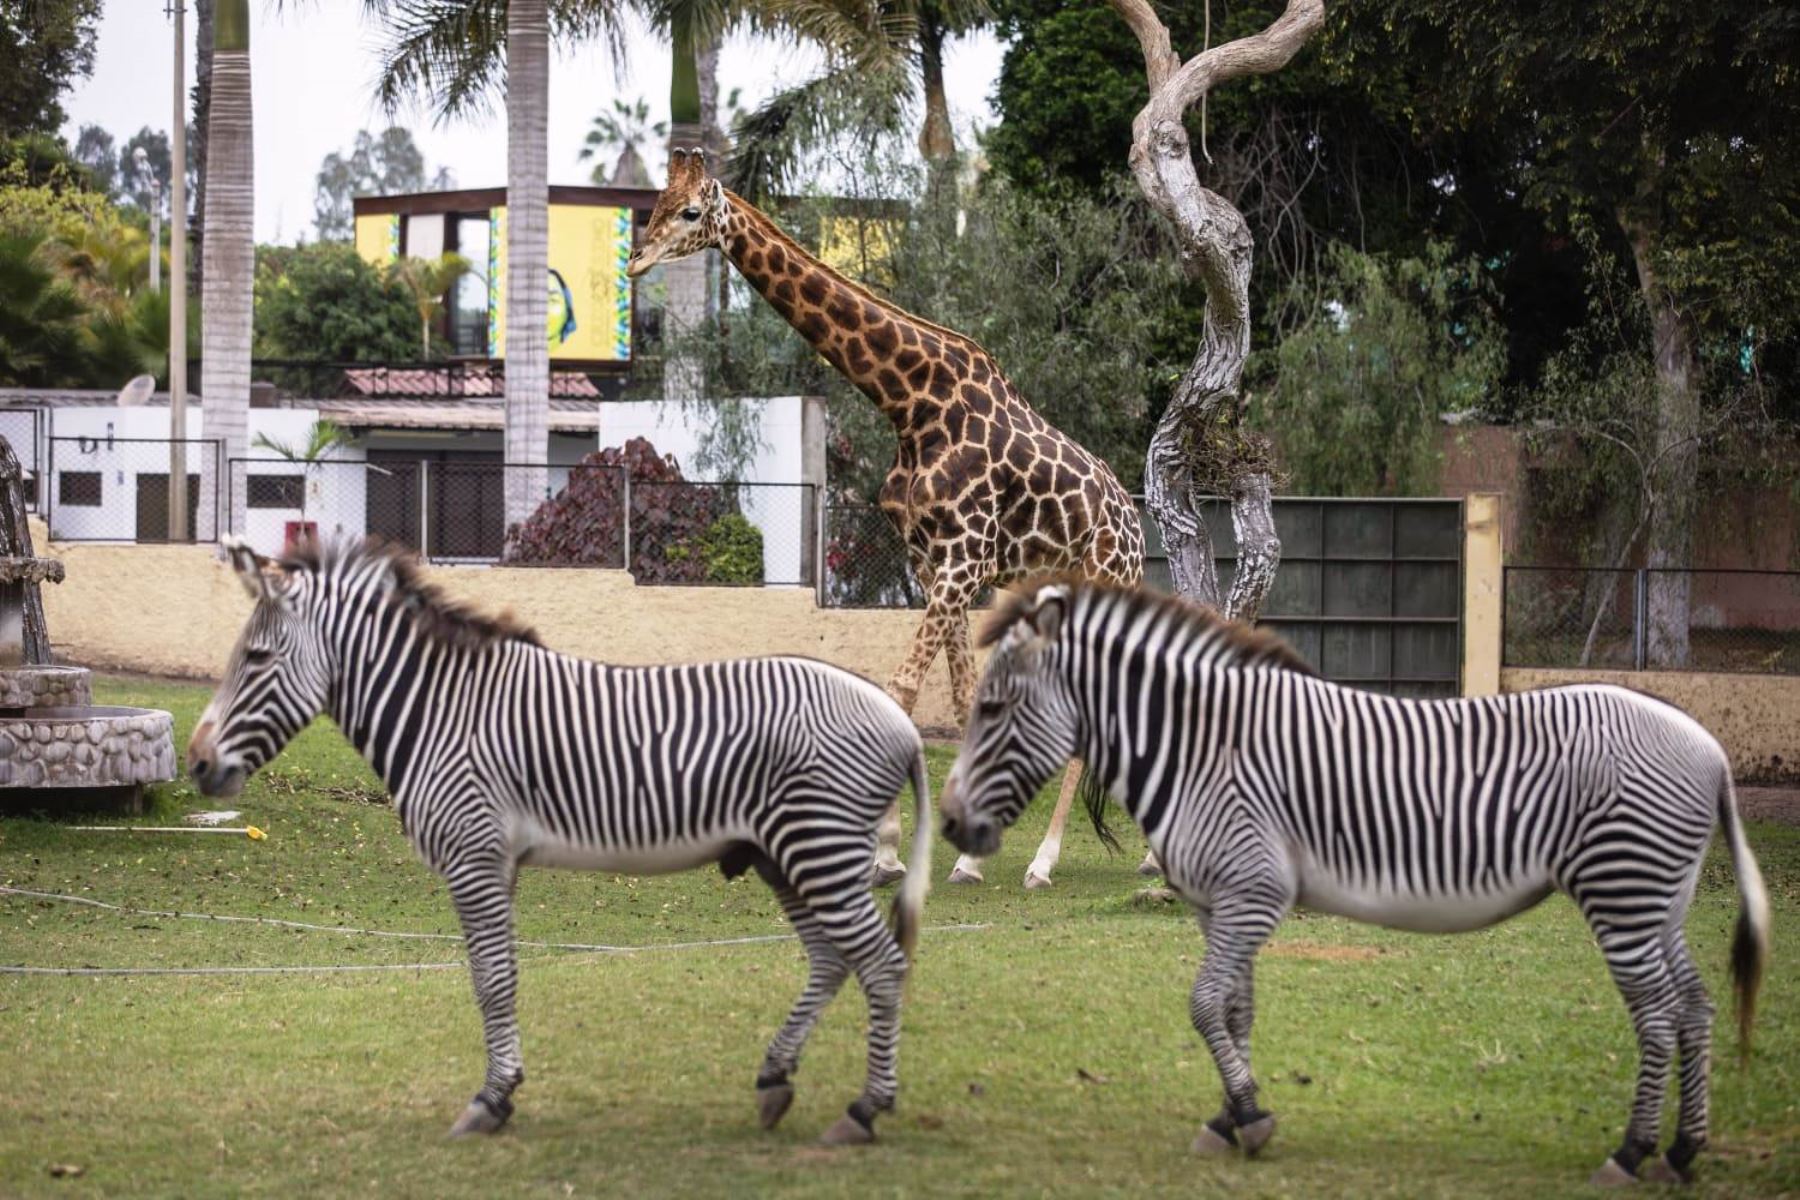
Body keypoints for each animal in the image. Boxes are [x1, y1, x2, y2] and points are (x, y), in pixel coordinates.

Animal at [189, 539, 936, 1151]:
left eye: (255, 658)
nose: (196, 764)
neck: (439, 712)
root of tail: (903, 724)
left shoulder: (474, 854)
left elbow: (491, 980)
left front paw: (491, 1100)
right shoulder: (499, 862)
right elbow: (500, 975)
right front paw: (504, 1090)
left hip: (819, 848)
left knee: (881, 964)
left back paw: (865, 1110)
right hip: (785, 854)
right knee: (831, 960)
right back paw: (776, 1079)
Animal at [626, 147, 1144, 892]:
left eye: (691, 212)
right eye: (655, 205)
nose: (635, 260)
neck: (910, 403)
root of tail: (1135, 527)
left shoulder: (962, 559)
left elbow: (900, 689)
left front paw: (890, 850)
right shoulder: (935, 562)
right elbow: (958, 697)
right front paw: (927, 852)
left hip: (1102, 585)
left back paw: (1050, 863)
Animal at [943, 579, 1771, 1180]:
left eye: (993, 708)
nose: (949, 828)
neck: (1200, 748)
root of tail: (1709, 749)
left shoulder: (1253, 891)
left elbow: (1205, 1004)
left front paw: (1249, 1117)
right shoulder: (1220, 904)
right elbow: (1234, 1010)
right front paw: (1232, 1116)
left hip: (1622, 893)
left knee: (1658, 1015)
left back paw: (1631, 1153)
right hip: (1659, 899)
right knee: (1694, 1007)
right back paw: (1683, 1152)